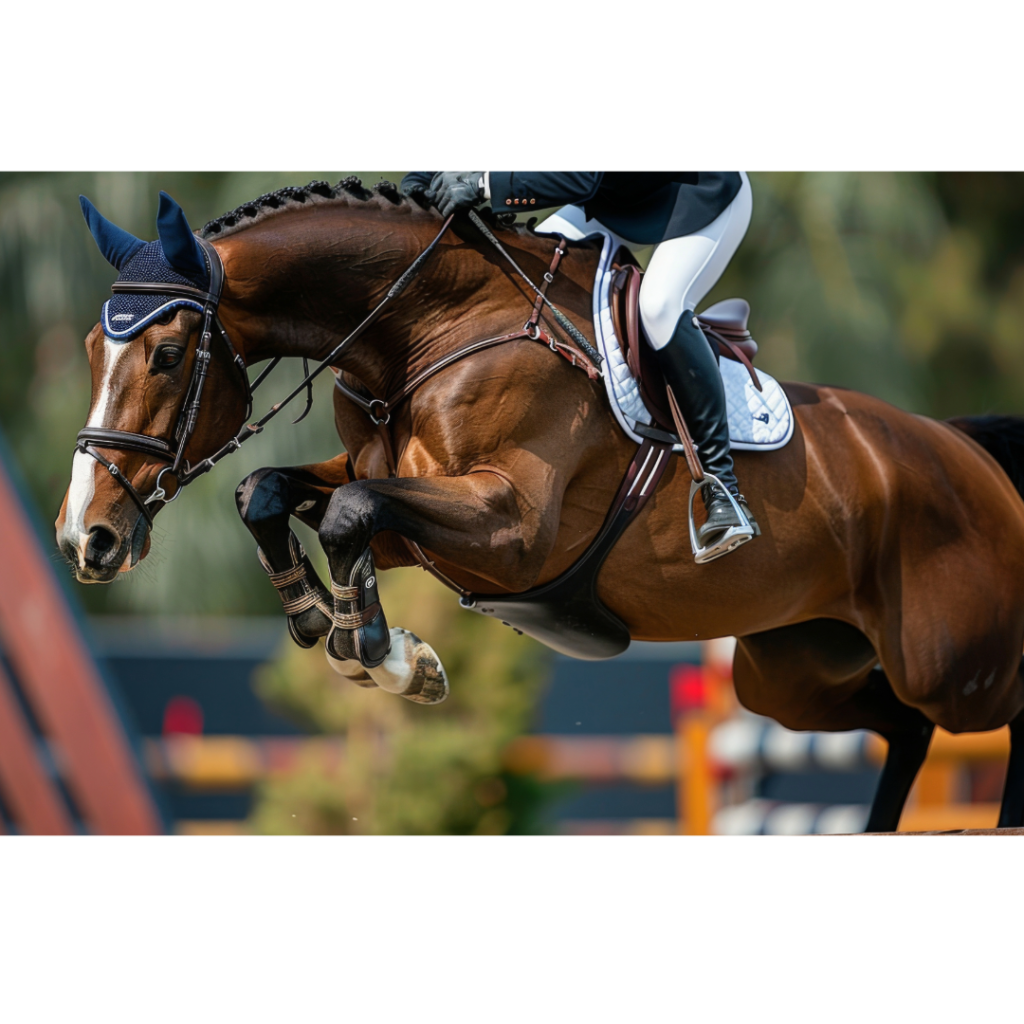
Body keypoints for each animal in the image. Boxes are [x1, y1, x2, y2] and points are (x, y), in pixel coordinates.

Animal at [55, 176, 1024, 833]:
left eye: (168, 356)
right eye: (90, 351)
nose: (84, 539)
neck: (426, 329)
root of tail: (964, 450)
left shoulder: (513, 527)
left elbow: (349, 511)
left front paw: (383, 655)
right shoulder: (419, 523)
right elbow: (275, 494)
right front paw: (334, 628)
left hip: (954, 661)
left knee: (973, 712)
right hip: (792, 674)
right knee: (903, 727)